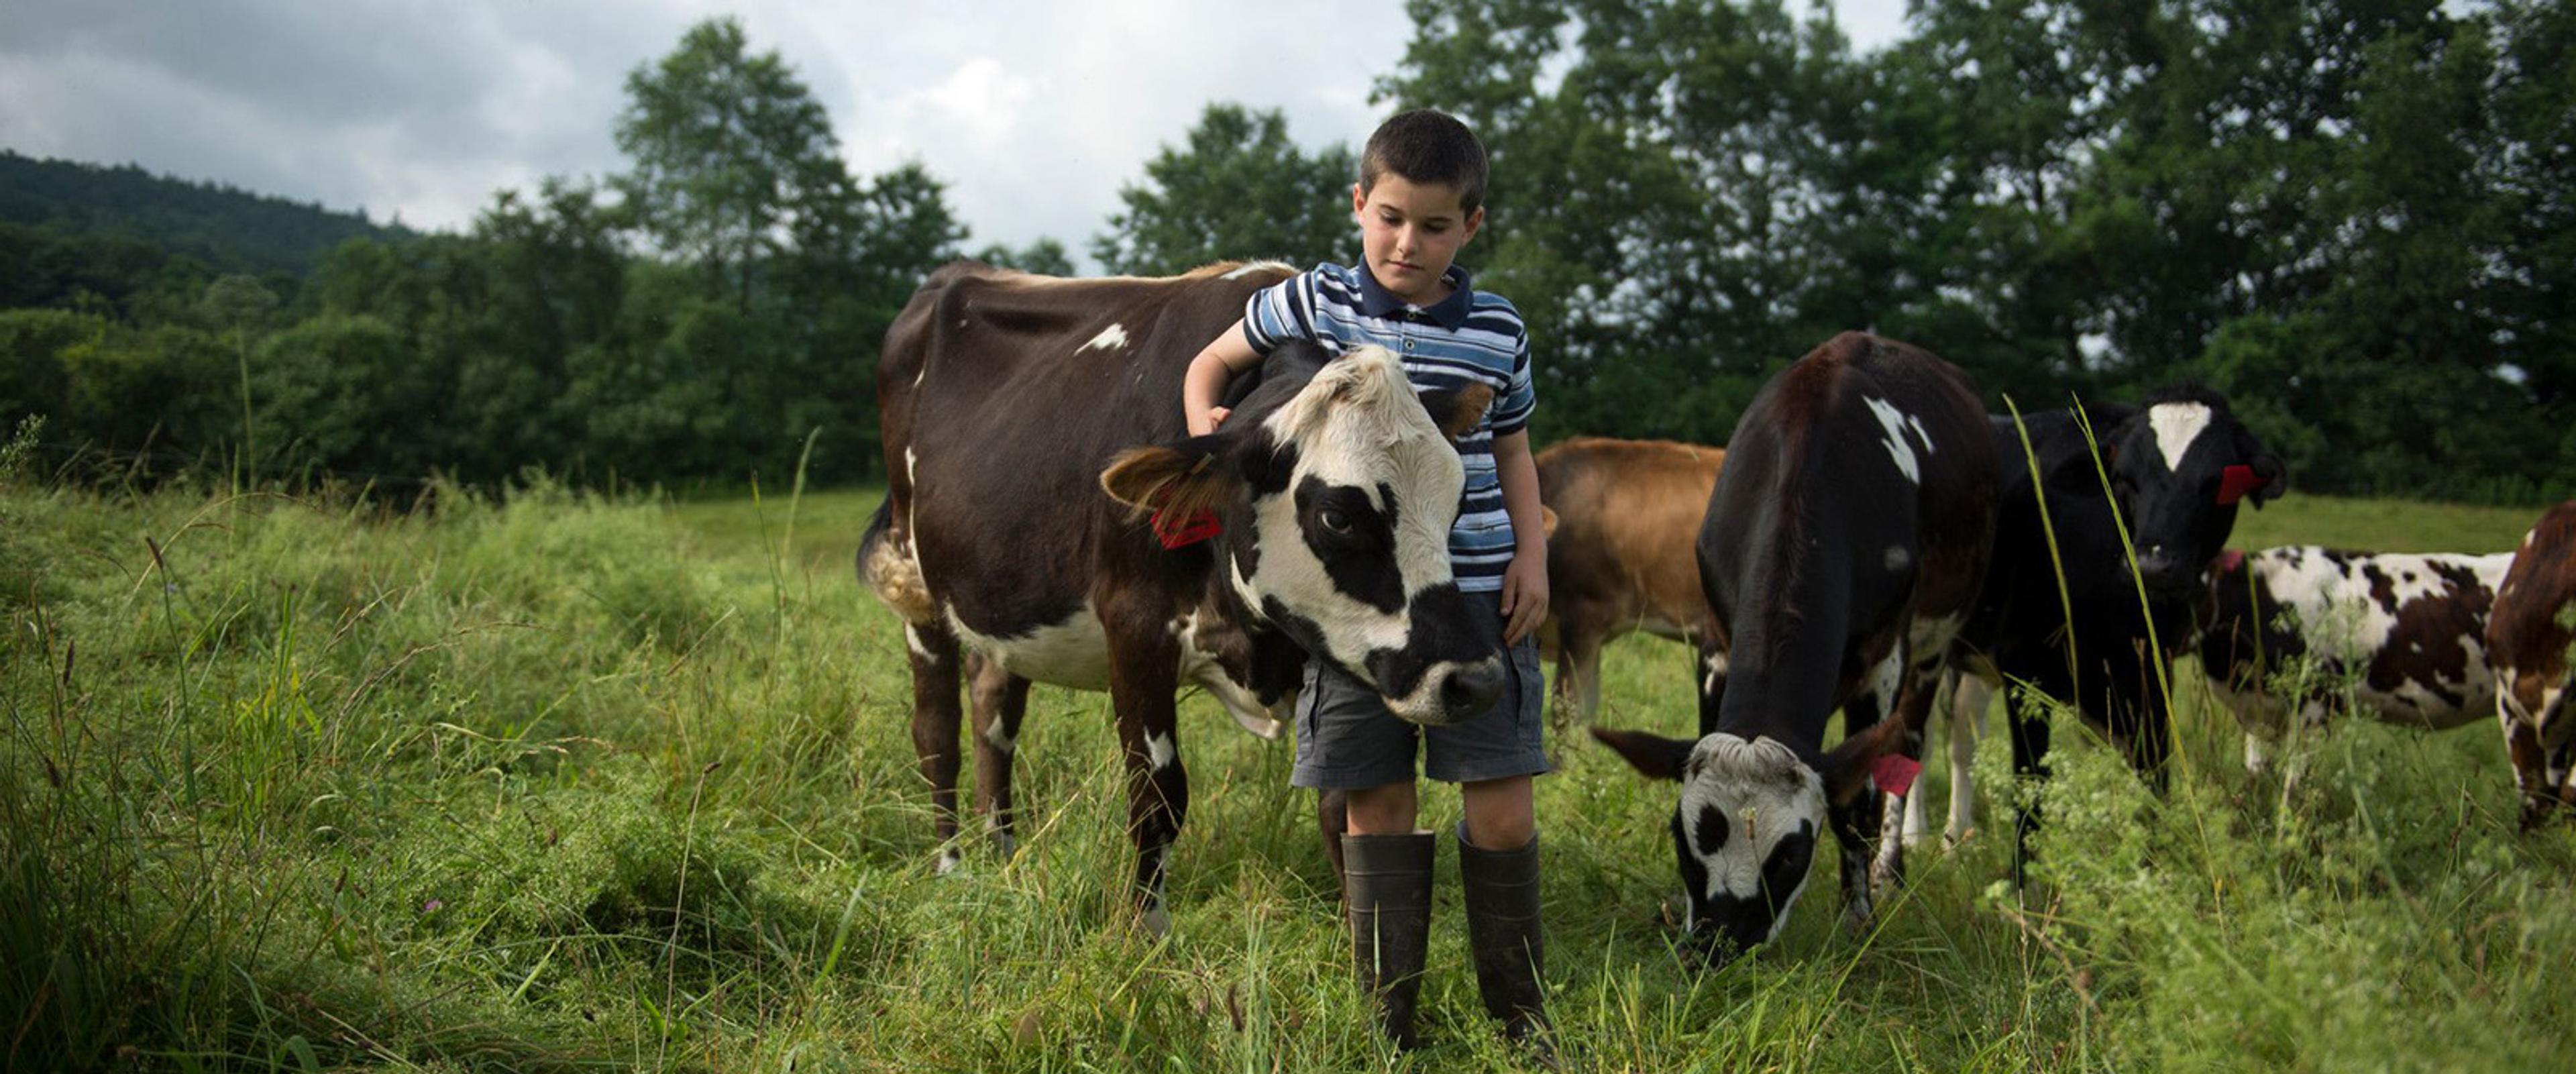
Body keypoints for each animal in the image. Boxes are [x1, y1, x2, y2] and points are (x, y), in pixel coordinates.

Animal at [858, 260, 1505, 933]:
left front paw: (1363, 939)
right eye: (1338, 517)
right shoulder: (1136, 626)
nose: (1475, 680)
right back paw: (952, 865)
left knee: (995, 714)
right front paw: (1144, 932)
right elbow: (1158, 793)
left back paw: (1004, 854)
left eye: (1459, 498)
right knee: (937, 730)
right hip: (917, 583)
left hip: (1003, 597)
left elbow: (1340, 802)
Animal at [1590, 332, 1998, 964]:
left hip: (1934, 647)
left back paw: (1895, 865)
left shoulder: (1885, 660)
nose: (1719, 943)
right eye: (1684, 837)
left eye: (1789, 854)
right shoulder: (1716, 645)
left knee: (1913, 745)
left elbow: (1858, 802)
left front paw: (1857, 916)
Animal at [1912, 387, 2285, 866]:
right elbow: (2031, 788)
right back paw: (1911, 837)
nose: (2153, 565)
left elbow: (2154, 778)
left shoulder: (2148, 672)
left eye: (2216, 481)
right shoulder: (2024, 667)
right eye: (2124, 476)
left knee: (1962, 733)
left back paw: (1955, 840)